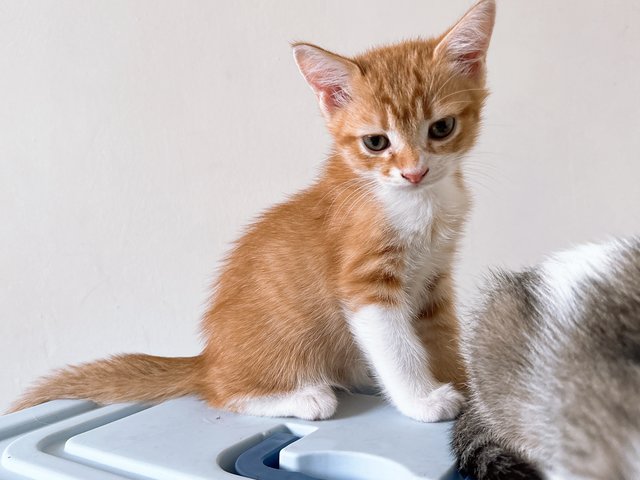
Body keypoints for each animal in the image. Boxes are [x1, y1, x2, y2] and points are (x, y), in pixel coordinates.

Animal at [12, 0, 498, 420]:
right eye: (376, 142)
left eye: (442, 128)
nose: (415, 172)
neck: (419, 203)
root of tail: (207, 359)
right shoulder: (365, 281)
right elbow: (396, 346)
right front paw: (422, 400)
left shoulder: (435, 279)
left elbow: (440, 336)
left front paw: (467, 389)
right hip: (279, 349)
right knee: (220, 394)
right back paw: (304, 398)